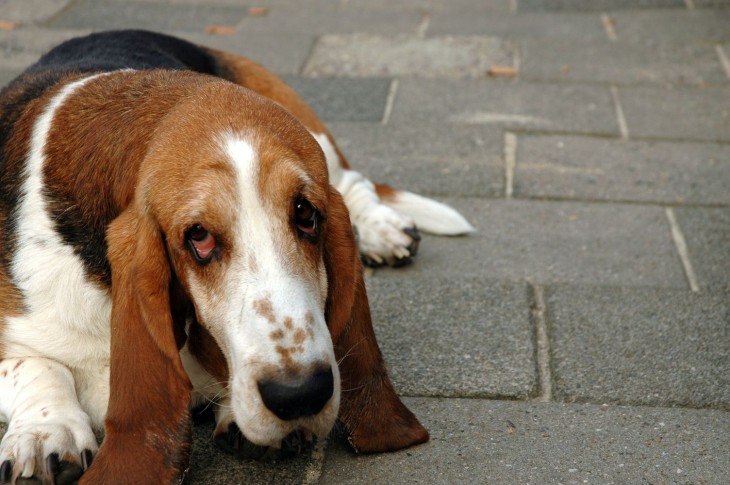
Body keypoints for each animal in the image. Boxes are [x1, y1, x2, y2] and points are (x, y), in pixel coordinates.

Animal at [0, 31, 472, 484]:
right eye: (199, 237)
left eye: (306, 215)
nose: (300, 394)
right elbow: (37, 365)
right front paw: (45, 433)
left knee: (356, 184)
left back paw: (382, 230)